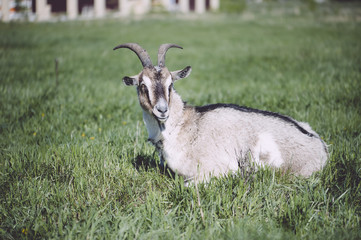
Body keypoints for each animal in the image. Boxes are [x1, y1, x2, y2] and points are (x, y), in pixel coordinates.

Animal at [114, 42, 328, 184]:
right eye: (143, 85)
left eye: (170, 84)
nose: (162, 110)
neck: (186, 126)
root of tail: (322, 148)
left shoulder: (212, 170)